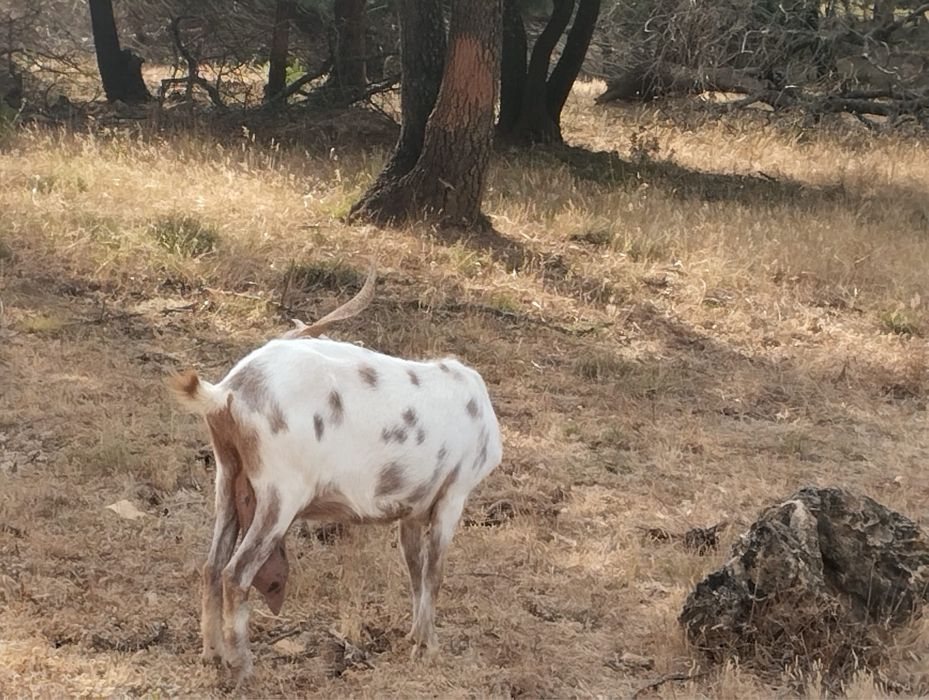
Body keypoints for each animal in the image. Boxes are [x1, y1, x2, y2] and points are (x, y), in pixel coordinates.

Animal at [169, 268, 503, 683]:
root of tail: (226, 394)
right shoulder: (454, 494)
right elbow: (434, 572)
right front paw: (430, 648)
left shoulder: (411, 508)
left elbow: (414, 569)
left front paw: (415, 637)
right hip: (280, 495)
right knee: (236, 573)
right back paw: (241, 663)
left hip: (228, 480)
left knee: (212, 566)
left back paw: (211, 653)